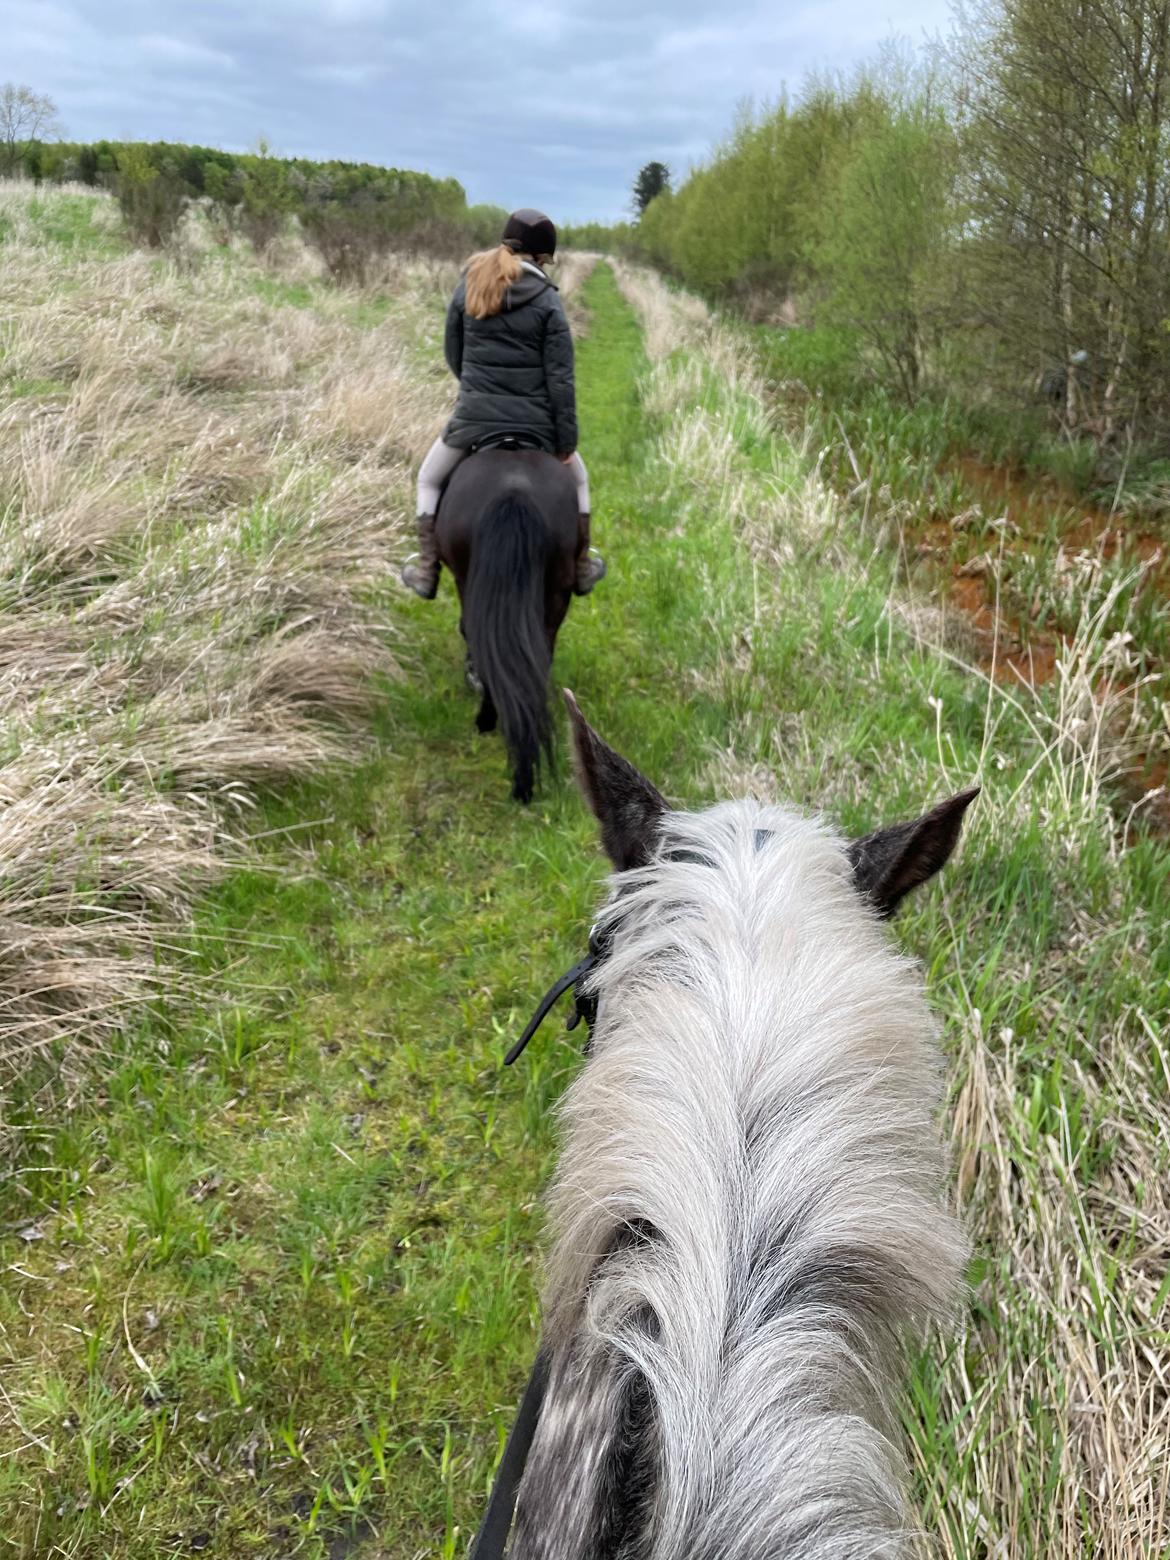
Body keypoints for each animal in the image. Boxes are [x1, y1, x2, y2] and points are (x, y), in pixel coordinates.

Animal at [439, 446, 583, 798]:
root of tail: (513, 494)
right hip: (557, 589)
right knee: (542, 647)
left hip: (467, 577)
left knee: (477, 633)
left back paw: (487, 720)